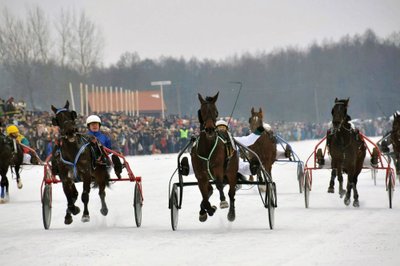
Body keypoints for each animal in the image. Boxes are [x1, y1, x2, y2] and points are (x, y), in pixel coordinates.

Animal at [191, 92, 238, 221]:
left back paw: (231, 213)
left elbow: (219, 184)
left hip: (231, 171)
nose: (210, 129)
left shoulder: (218, 168)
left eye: (215, 111)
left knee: (231, 192)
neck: (206, 148)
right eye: (202, 111)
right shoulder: (200, 176)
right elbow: (204, 196)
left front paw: (222, 202)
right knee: (209, 191)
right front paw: (208, 210)